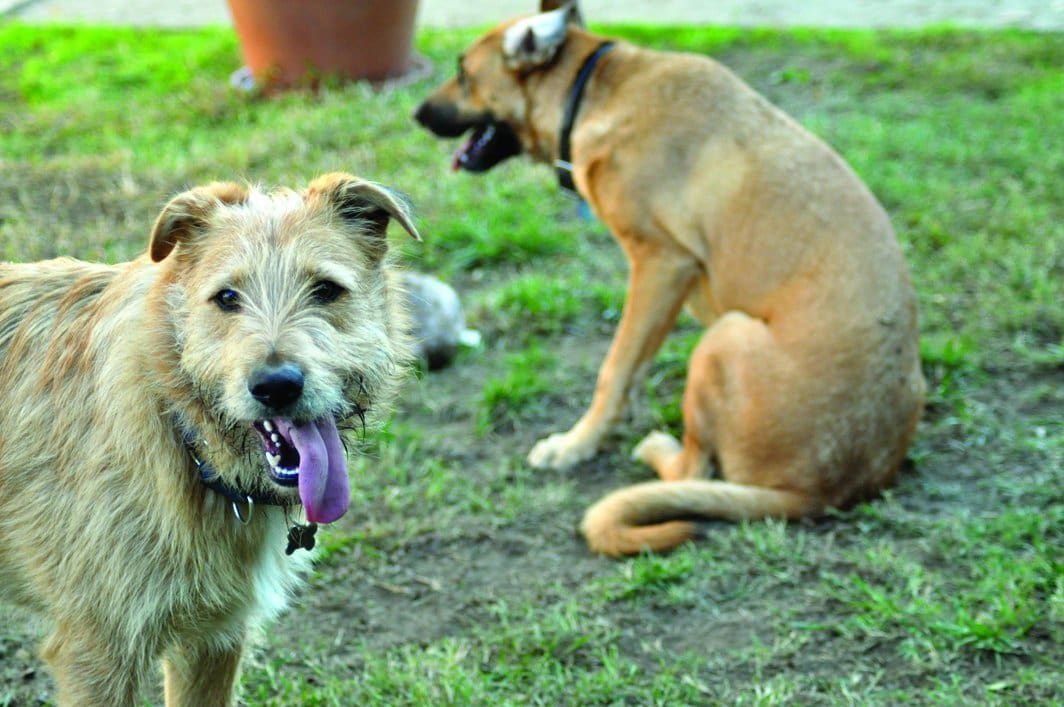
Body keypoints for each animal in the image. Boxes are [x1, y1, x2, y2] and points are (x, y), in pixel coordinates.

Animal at [414, 1, 923, 557]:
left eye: (464, 73)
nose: (415, 113)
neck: (592, 93)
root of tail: (821, 492)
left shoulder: (660, 264)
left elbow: (614, 369)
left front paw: (576, 444)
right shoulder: (666, 283)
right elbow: (634, 365)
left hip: (723, 338)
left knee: (693, 468)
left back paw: (660, 448)